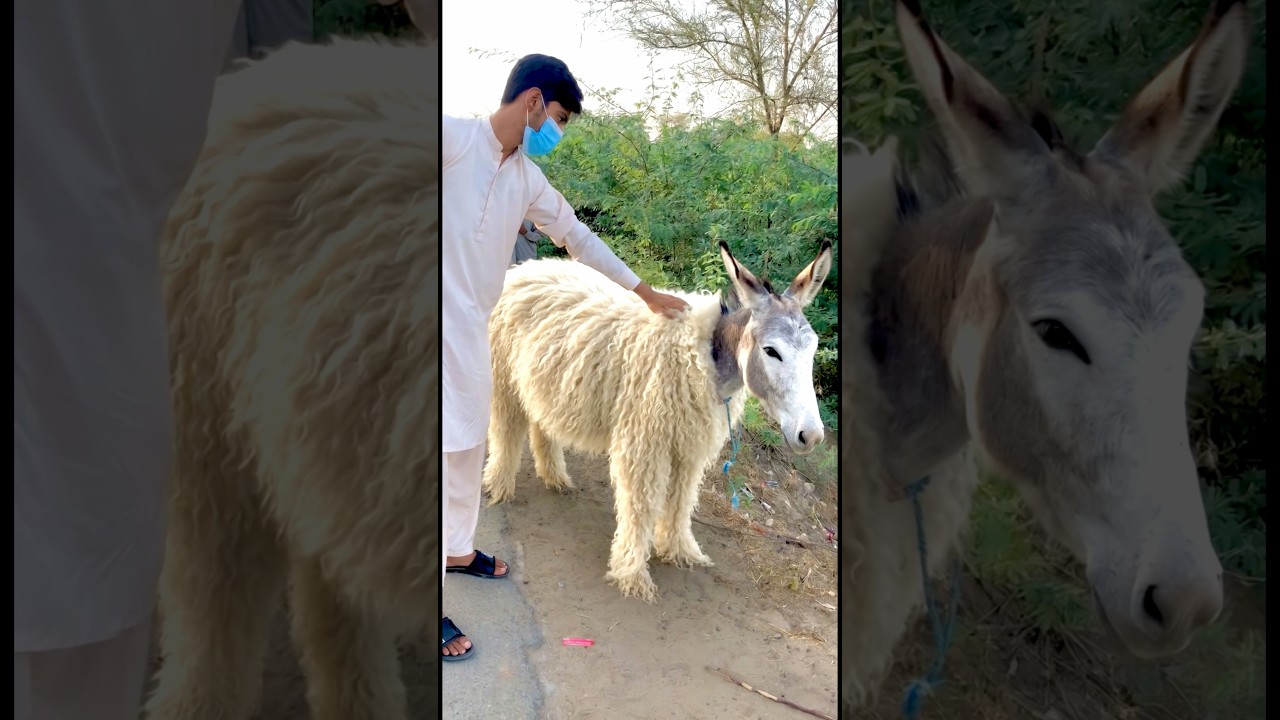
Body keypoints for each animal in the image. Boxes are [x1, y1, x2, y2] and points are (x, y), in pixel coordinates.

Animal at [482, 240, 833, 602]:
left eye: (813, 349)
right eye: (771, 351)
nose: (811, 436)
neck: (706, 357)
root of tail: (526, 268)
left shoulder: (689, 446)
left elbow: (680, 501)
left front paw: (680, 551)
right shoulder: (645, 442)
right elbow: (642, 505)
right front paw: (632, 573)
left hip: (545, 381)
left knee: (541, 421)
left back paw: (554, 476)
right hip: (503, 375)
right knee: (505, 430)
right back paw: (498, 485)